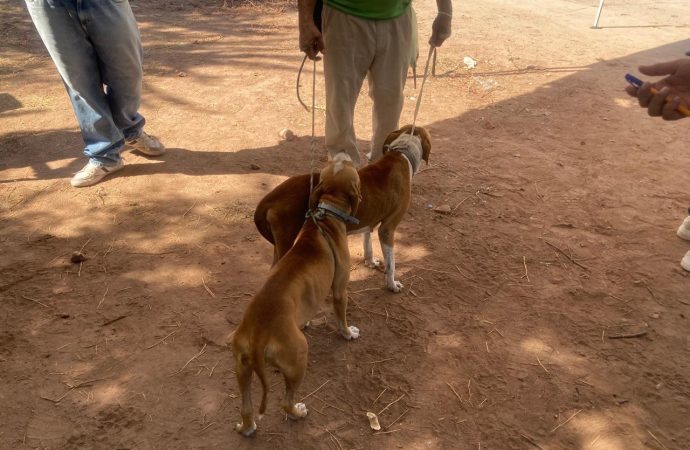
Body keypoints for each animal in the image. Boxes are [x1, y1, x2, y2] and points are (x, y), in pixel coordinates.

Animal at [231, 154, 360, 436]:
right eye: (350, 169)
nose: (342, 154)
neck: (325, 215)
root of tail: (258, 336)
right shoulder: (339, 290)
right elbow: (342, 318)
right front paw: (348, 333)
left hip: (242, 368)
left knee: (246, 408)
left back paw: (247, 427)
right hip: (299, 357)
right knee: (285, 402)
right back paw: (297, 412)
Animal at [254, 125, 430, 294]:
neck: (402, 153)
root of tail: (270, 198)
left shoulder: (369, 220)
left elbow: (367, 243)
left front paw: (370, 261)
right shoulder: (388, 228)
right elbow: (391, 264)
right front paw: (392, 285)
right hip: (287, 242)